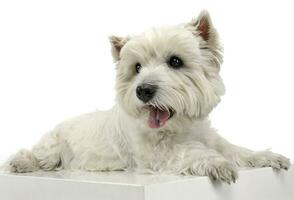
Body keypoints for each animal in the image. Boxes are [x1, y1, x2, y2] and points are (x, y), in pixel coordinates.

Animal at [6, 10, 290, 183]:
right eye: (137, 67)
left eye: (175, 61)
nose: (143, 90)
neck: (179, 129)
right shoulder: (157, 155)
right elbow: (192, 152)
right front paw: (219, 165)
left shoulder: (209, 137)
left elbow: (236, 150)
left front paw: (270, 157)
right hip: (53, 145)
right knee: (37, 154)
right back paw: (19, 163)